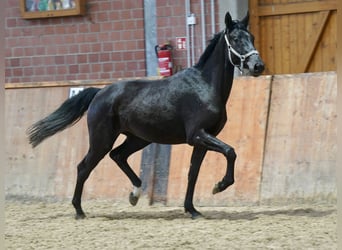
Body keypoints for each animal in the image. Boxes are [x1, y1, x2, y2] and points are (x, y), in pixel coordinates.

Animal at [28, 11, 266, 219]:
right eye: (235, 39)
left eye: (252, 37)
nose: (258, 66)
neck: (204, 86)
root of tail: (100, 93)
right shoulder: (197, 135)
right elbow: (230, 151)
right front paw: (219, 186)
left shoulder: (203, 139)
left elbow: (193, 173)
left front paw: (192, 210)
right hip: (102, 140)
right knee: (84, 167)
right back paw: (79, 211)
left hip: (139, 138)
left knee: (118, 155)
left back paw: (134, 194)